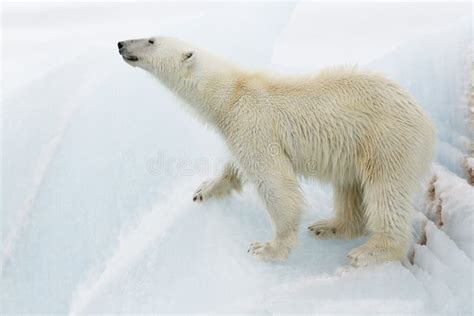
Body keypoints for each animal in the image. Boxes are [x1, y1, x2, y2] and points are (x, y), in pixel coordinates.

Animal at [117, 35, 434, 266]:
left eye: (150, 40)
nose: (120, 44)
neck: (231, 94)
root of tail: (428, 124)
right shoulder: (239, 129)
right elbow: (234, 166)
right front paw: (205, 189)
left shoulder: (253, 123)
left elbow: (275, 183)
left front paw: (267, 248)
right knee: (349, 187)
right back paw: (330, 226)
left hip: (388, 140)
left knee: (385, 192)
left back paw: (369, 251)